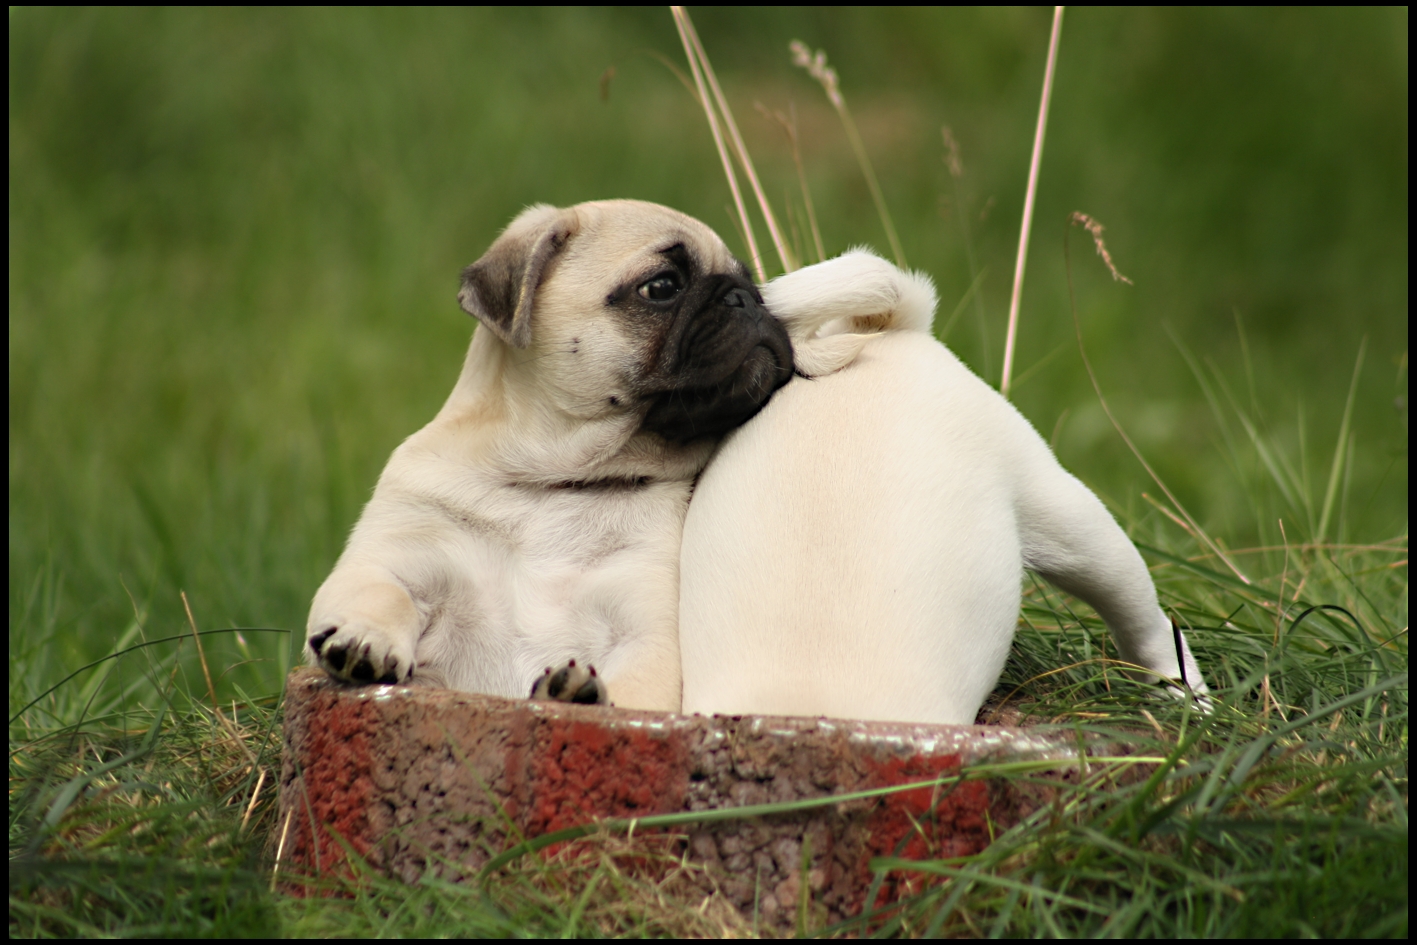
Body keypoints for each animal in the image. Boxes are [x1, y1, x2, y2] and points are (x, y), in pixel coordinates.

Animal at [307, 204, 799, 714]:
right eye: (662, 287)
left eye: (756, 287)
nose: (748, 300)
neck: (554, 479)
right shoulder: (392, 559)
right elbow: (384, 594)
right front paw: (366, 640)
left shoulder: (647, 632)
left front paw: (583, 695)